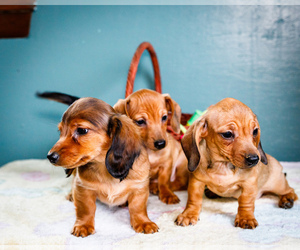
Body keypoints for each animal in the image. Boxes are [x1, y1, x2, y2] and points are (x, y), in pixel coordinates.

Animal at [46, 97, 158, 236]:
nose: (50, 156)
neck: (103, 166)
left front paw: (143, 222)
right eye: (60, 131)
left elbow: (138, 208)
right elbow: (86, 209)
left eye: (81, 130)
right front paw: (83, 225)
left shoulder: (139, 187)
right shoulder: (84, 187)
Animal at [176, 97, 298, 229]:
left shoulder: (248, 184)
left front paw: (246, 218)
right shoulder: (196, 181)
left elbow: (246, 201)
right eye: (227, 134)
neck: (222, 166)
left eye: (255, 131)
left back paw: (287, 199)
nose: (255, 159)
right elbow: (194, 199)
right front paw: (189, 214)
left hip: (277, 184)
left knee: (291, 190)